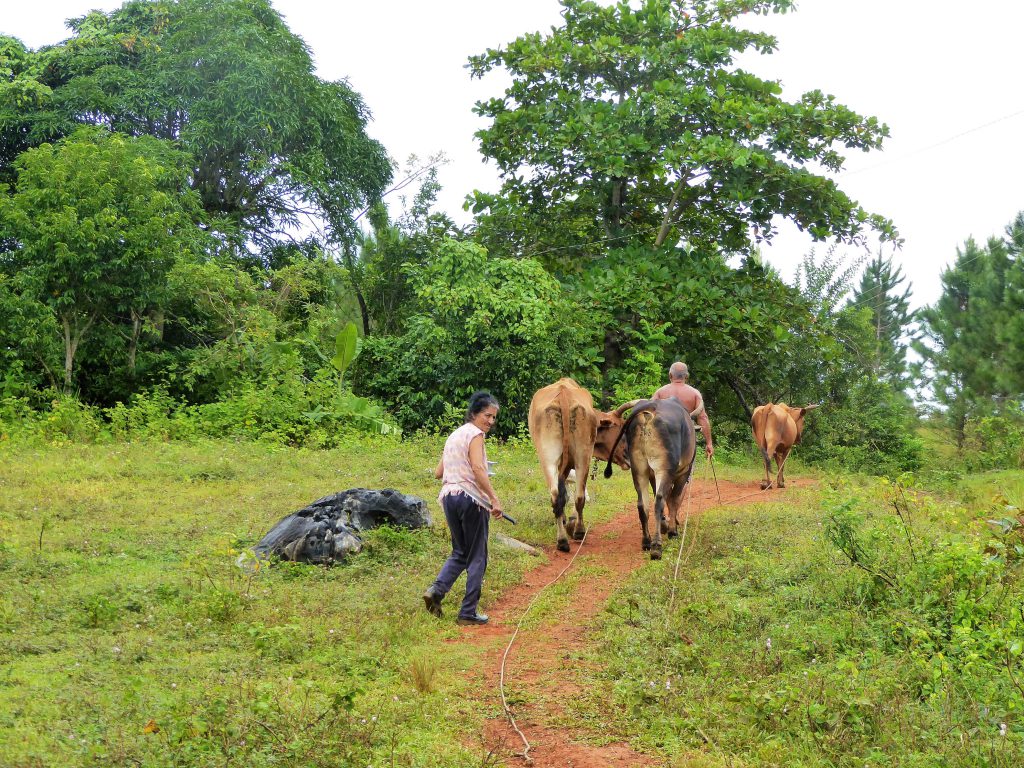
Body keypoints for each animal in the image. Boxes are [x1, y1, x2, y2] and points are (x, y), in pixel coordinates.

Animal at [532, 380, 626, 552]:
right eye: (620, 427)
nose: (627, 455)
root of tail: (564, 394)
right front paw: (568, 521)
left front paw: (568, 521)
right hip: (577, 456)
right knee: (572, 496)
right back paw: (570, 535)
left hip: (556, 458)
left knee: (564, 496)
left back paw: (570, 536)